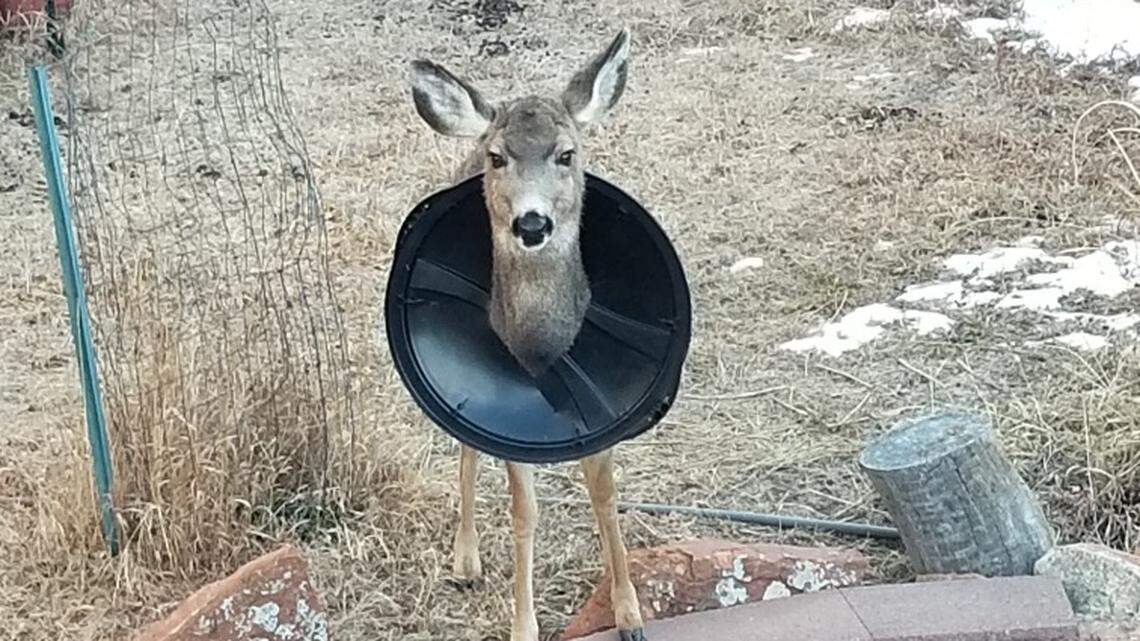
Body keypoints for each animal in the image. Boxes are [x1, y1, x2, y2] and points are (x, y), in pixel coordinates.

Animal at [408, 29, 646, 641]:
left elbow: (604, 492)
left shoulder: (609, 411)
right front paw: (523, 625)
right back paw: (465, 560)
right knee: (464, 446)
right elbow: (524, 510)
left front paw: (631, 612)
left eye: (566, 153)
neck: (544, 345)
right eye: (499, 158)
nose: (532, 223)